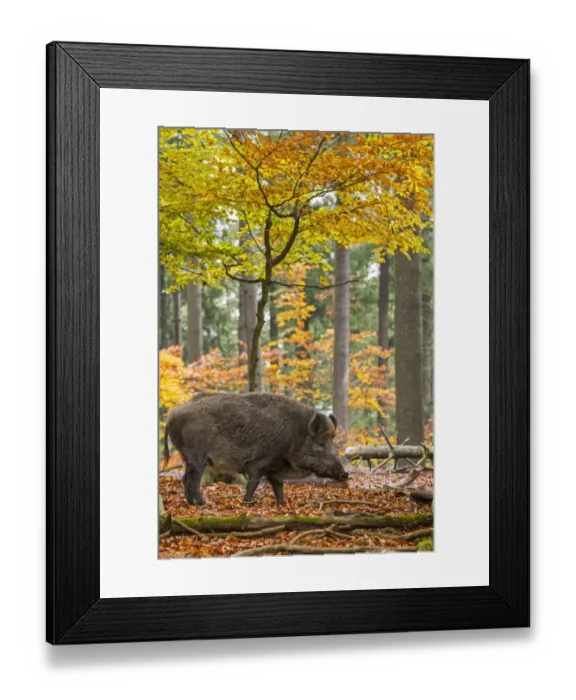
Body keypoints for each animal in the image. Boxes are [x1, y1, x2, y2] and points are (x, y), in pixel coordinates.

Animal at [164, 392, 348, 506]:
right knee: (193, 480)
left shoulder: (274, 469)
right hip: (197, 456)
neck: (295, 437)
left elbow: (279, 487)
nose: (345, 474)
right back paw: (203, 504)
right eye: (321, 444)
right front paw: (246, 503)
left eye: (333, 443)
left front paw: (282, 505)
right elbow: (253, 483)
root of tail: (171, 415)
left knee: (185, 478)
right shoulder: (258, 463)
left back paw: (192, 504)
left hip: (187, 457)